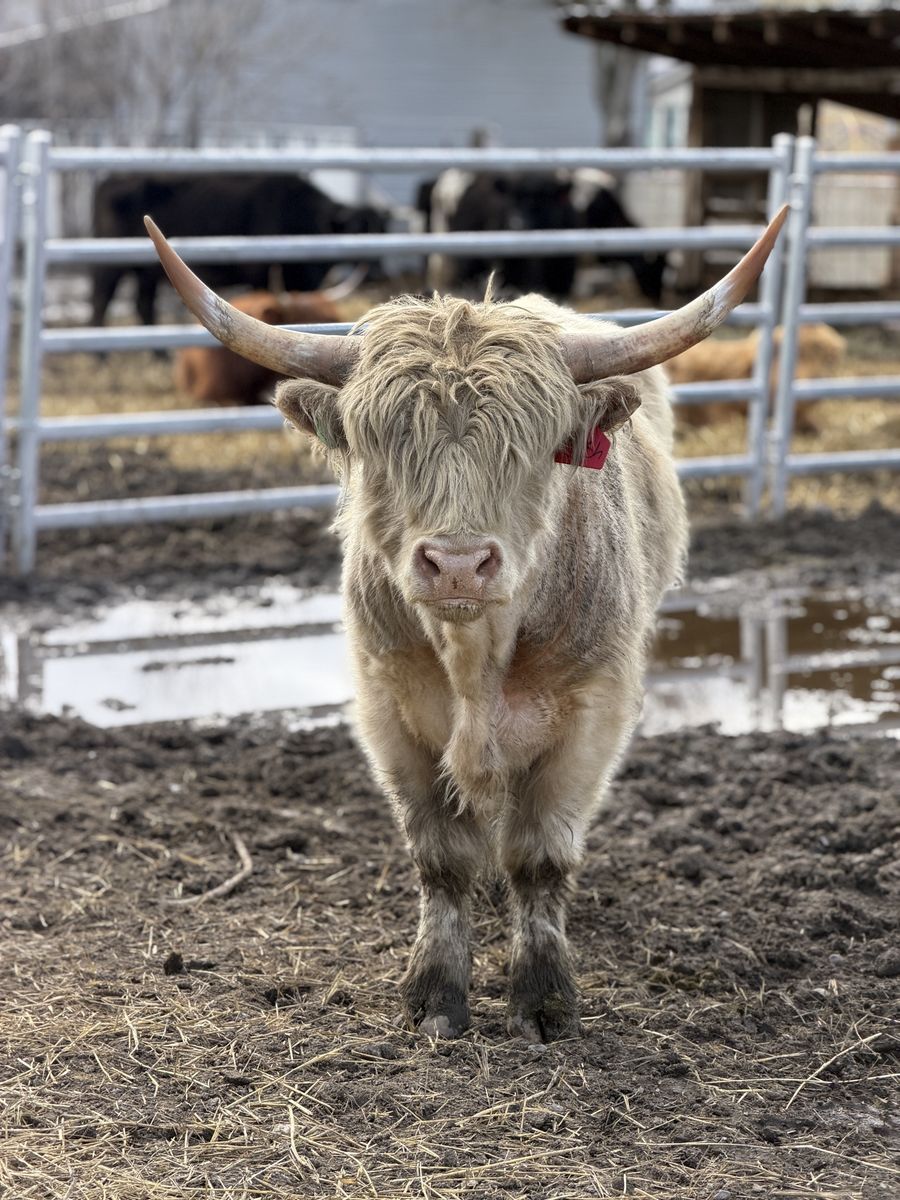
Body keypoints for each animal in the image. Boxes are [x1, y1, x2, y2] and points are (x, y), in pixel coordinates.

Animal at [90, 173, 386, 326]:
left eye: (381, 228)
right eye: (358, 228)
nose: (377, 271)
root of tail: (111, 179)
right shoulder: (261, 277)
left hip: (146, 274)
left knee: (143, 305)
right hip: (111, 268)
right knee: (102, 301)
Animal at [145, 205, 786, 1041]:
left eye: (536, 449)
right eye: (384, 445)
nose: (455, 564)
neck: (475, 656)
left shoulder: (592, 717)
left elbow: (540, 856)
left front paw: (543, 1000)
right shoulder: (390, 715)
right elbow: (444, 859)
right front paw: (436, 996)